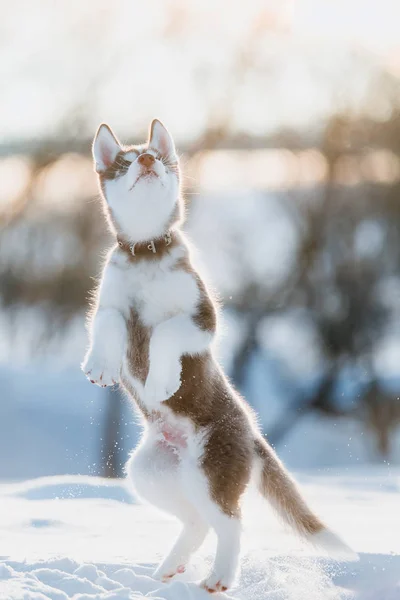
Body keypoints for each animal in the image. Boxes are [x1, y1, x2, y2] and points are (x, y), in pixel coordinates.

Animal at [82, 119, 360, 592]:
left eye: (159, 157)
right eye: (123, 162)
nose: (147, 158)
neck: (147, 252)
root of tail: (252, 433)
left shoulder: (202, 317)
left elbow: (166, 332)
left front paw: (161, 380)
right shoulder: (111, 301)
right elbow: (108, 324)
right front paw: (99, 365)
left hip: (212, 467)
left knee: (231, 523)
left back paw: (220, 577)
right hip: (152, 472)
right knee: (197, 520)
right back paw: (171, 566)